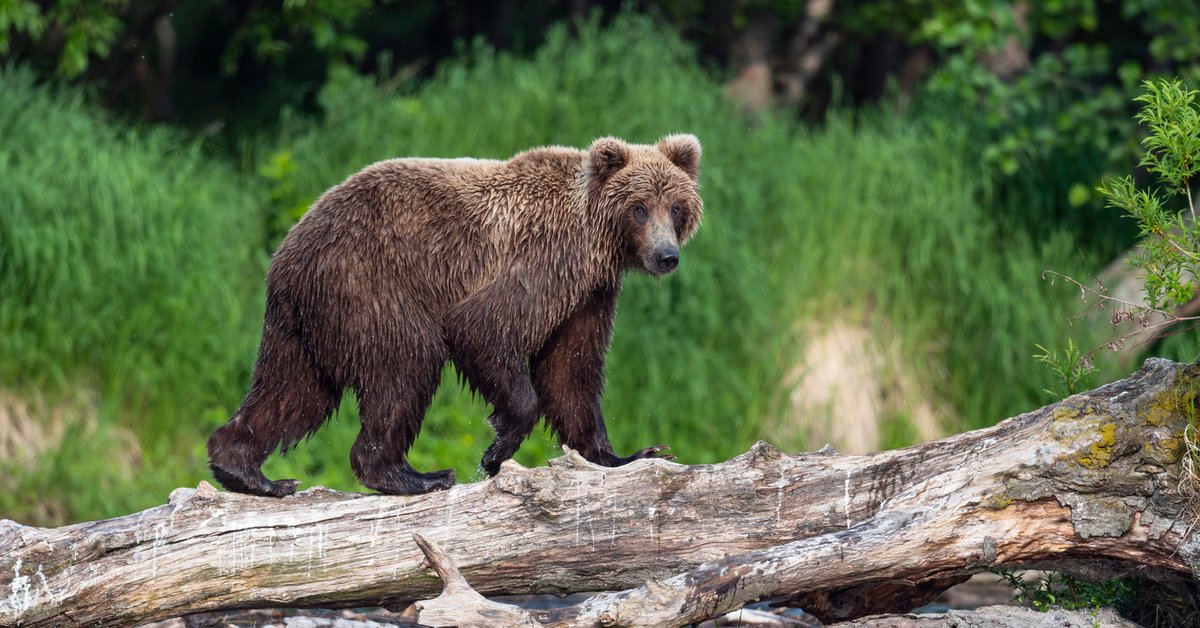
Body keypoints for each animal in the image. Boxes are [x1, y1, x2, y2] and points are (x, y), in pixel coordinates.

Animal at [206, 132, 700, 497]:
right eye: (639, 208)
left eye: (676, 207)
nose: (666, 256)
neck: (594, 244)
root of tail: (286, 251)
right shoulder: (540, 264)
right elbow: (481, 328)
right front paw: (496, 450)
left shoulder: (588, 296)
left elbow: (570, 373)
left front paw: (632, 454)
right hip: (369, 284)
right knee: (405, 364)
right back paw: (414, 475)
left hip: (306, 324)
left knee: (293, 391)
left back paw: (248, 471)